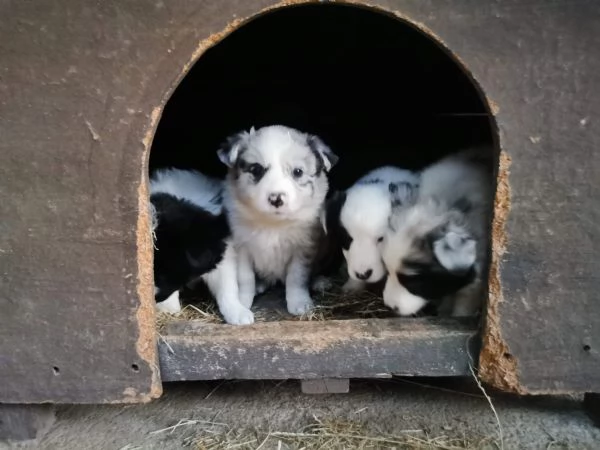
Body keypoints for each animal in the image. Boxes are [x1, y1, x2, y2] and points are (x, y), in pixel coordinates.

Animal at [218, 125, 338, 314]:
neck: (272, 223)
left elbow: (297, 278)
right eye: (256, 170)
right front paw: (242, 303)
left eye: (298, 172)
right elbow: (245, 278)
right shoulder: (242, 247)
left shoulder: (303, 248)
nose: (276, 199)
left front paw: (299, 303)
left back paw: (321, 281)